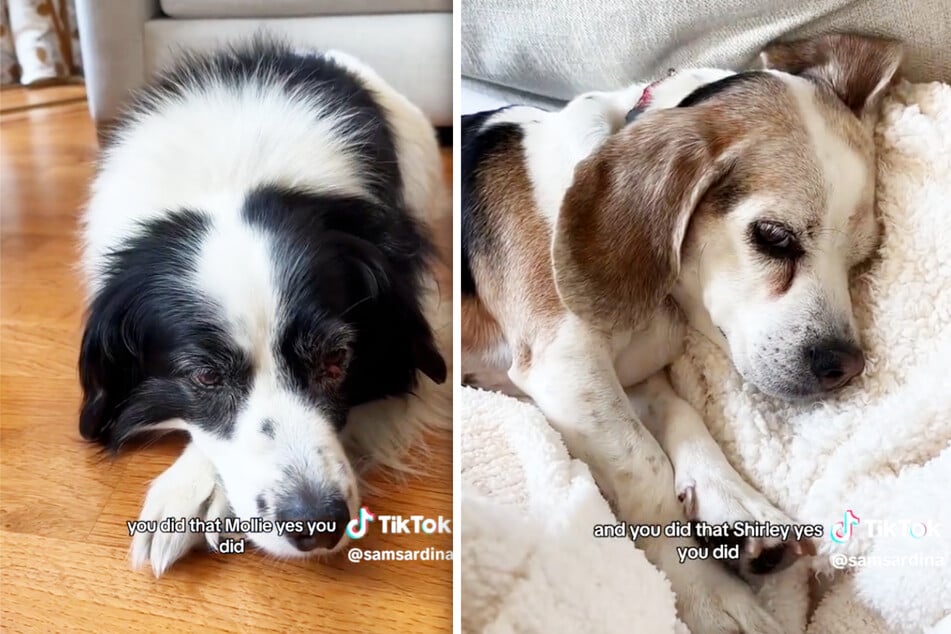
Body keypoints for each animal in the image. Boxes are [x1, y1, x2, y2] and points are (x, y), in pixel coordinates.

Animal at [462, 35, 900, 632]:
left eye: (862, 259)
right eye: (774, 236)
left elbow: (680, 414)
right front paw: (707, 591)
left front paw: (734, 505)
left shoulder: (623, 381)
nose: (845, 366)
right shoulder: (564, 365)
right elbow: (646, 471)